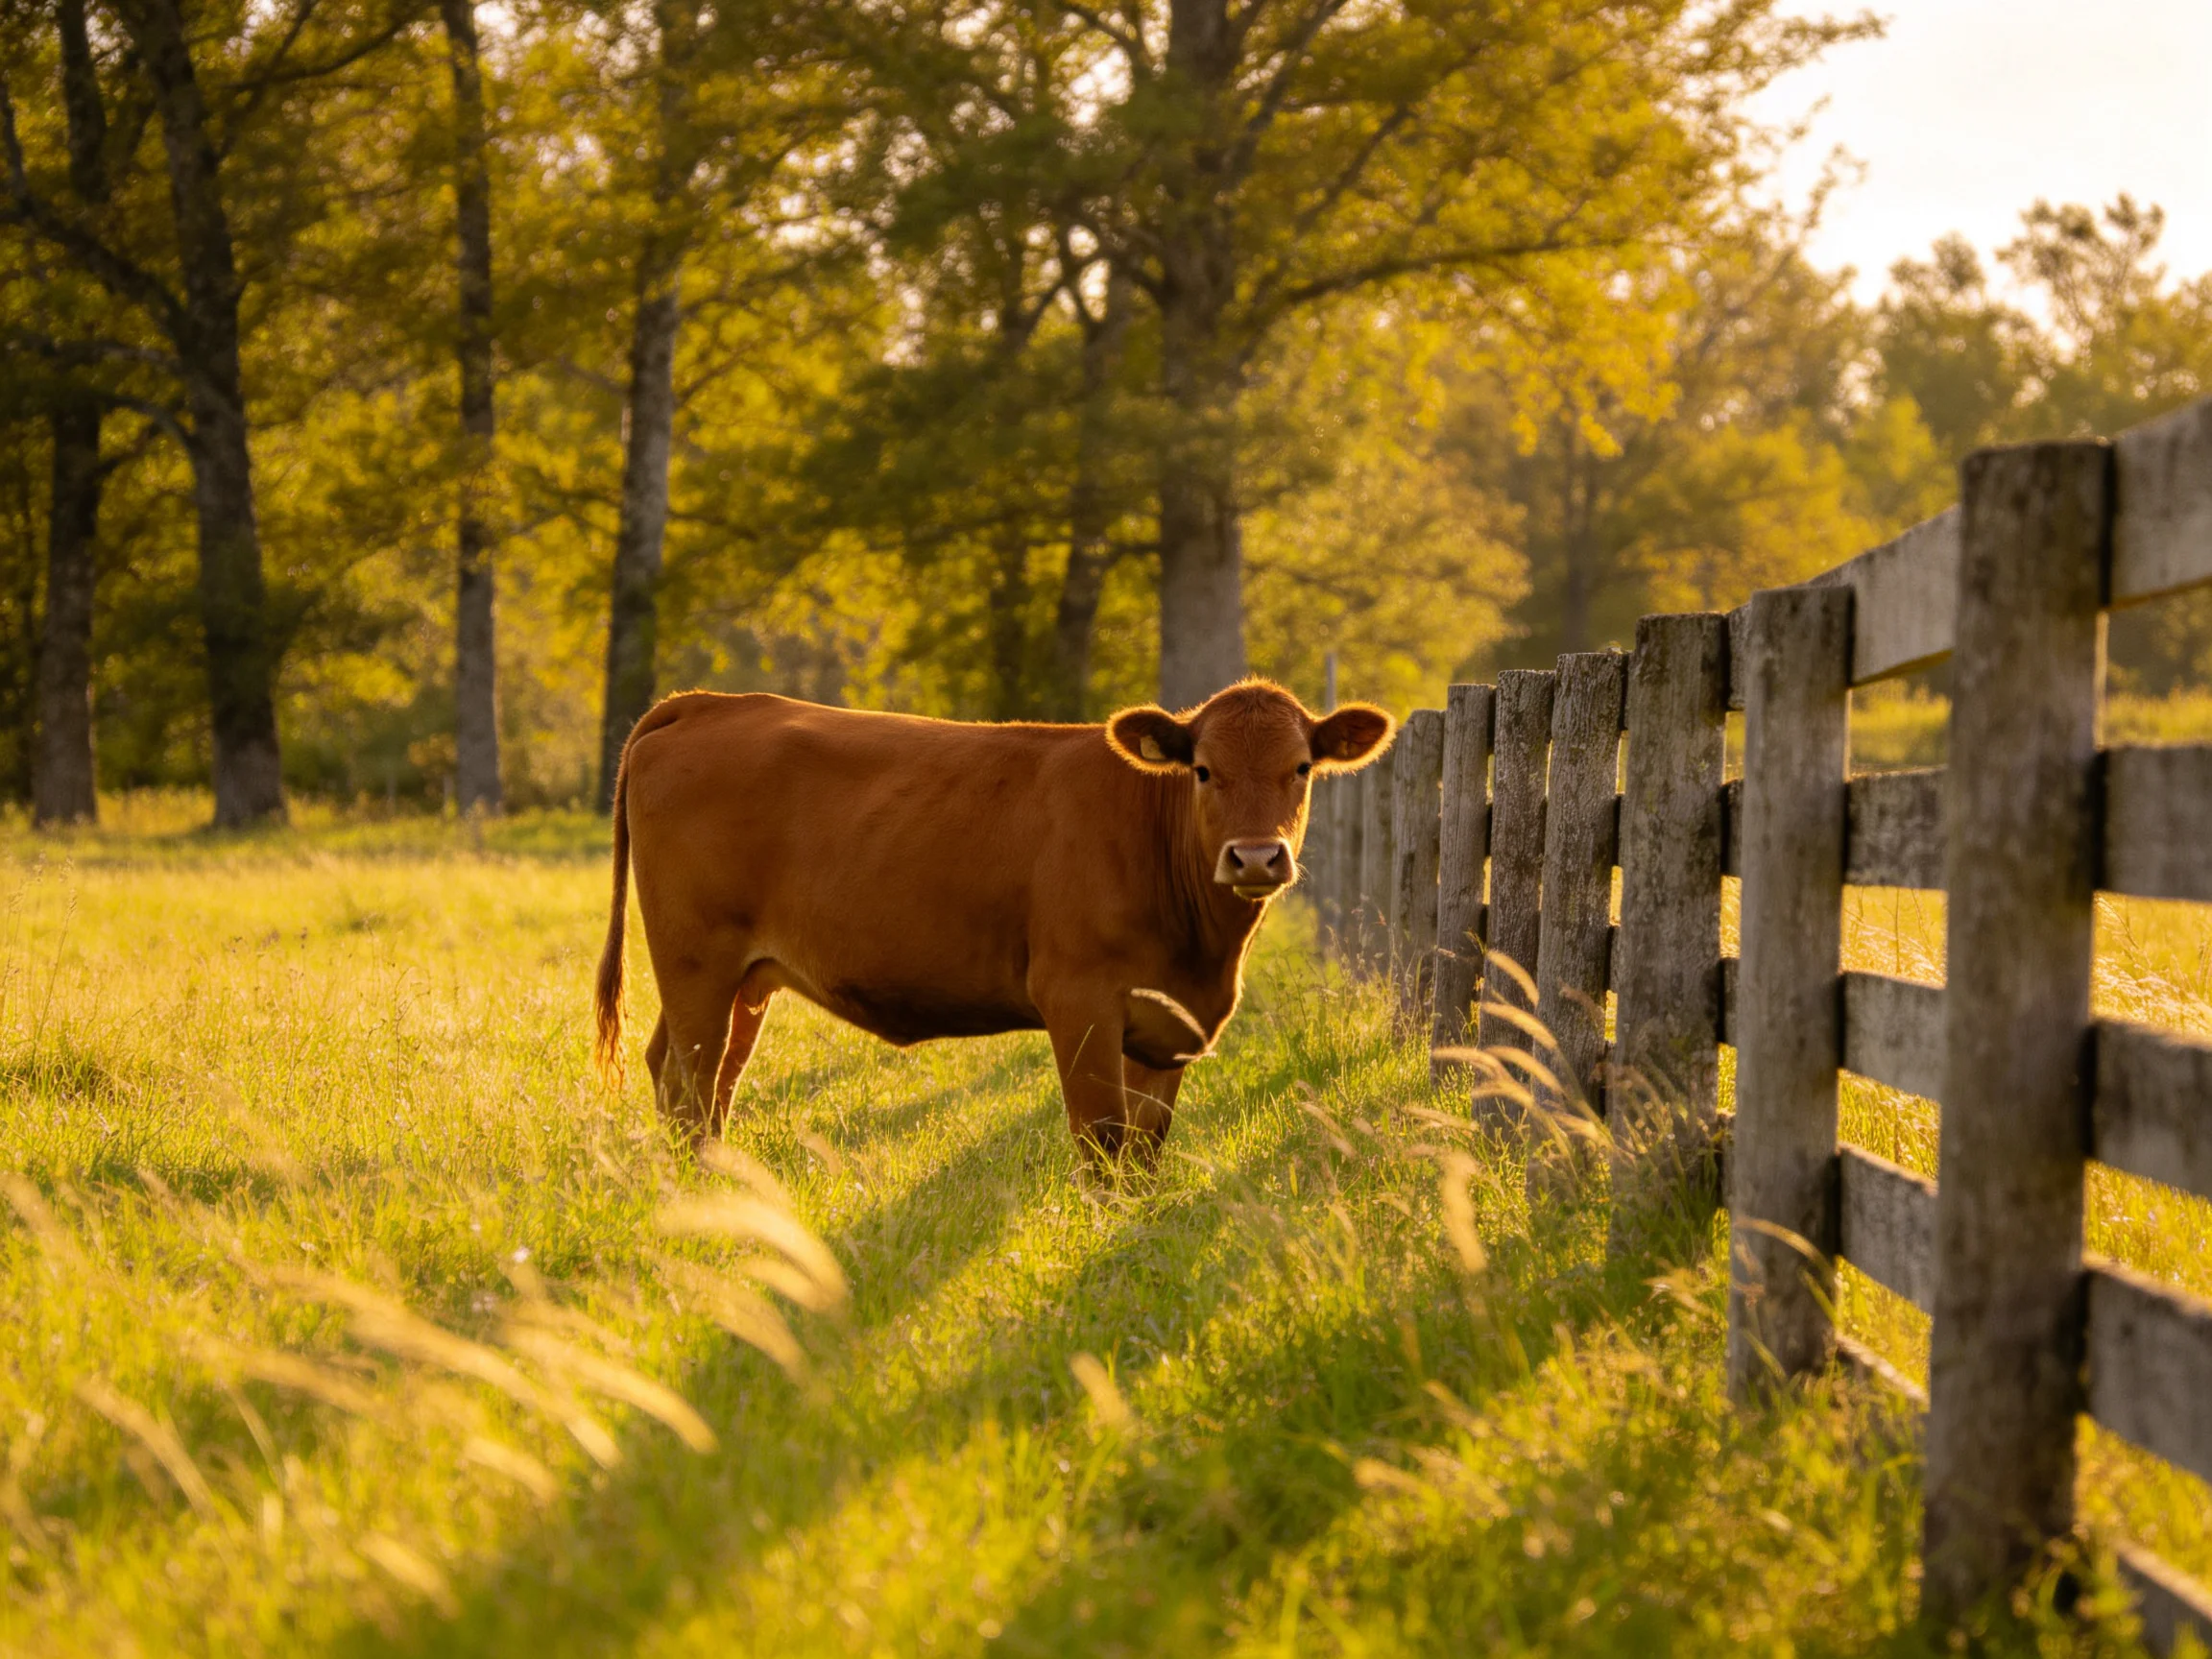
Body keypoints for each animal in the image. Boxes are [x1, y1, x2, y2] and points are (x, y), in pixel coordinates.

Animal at [593, 678, 1393, 1164]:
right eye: (1203, 770)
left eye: (1301, 768)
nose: (1256, 857)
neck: (1204, 955)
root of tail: (710, 702)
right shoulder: (1078, 998)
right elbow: (1103, 1139)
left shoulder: (1171, 1023)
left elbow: (1146, 1145)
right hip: (696, 960)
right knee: (691, 1083)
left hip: (744, 979)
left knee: (695, 1077)